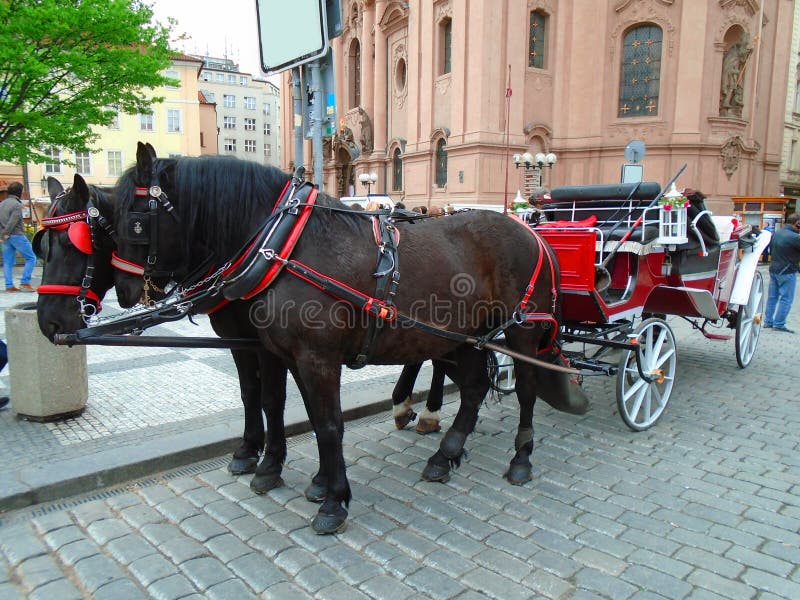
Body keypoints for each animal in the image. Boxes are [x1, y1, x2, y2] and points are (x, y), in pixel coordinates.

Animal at [109, 145, 580, 536]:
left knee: (525, 390)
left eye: (134, 218)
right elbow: (297, 413)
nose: (124, 292)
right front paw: (308, 479)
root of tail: (531, 233)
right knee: (474, 389)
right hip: (465, 336)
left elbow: (330, 424)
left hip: (520, 332)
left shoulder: (317, 358)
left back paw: (520, 458)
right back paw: (444, 454)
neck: (287, 246)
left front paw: (333, 500)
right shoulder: (283, 353)